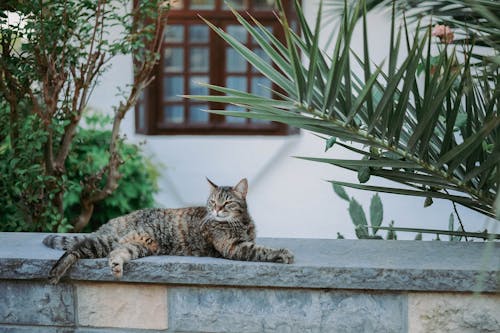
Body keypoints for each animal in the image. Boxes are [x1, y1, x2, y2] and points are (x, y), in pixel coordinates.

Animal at [44, 178, 292, 284]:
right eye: (212, 202)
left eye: (227, 203)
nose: (217, 210)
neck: (241, 222)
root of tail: (114, 221)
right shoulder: (233, 247)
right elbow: (260, 250)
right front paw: (282, 253)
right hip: (105, 242)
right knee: (74, 250)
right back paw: (56, 272)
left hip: (139, 246)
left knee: (116, 253)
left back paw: (116, 266)